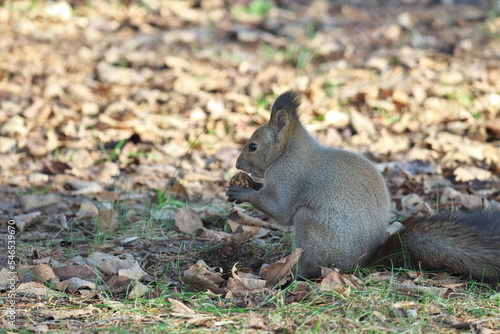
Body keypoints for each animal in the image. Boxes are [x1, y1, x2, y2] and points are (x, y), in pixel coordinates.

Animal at [228, 89, 500, 282]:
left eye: (253, 146)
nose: (237, 164)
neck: (289, 150)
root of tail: (362, 263)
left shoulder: (288, 177)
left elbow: (279, 208)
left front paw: (241, 190)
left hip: (312, 227)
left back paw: (292, 273)